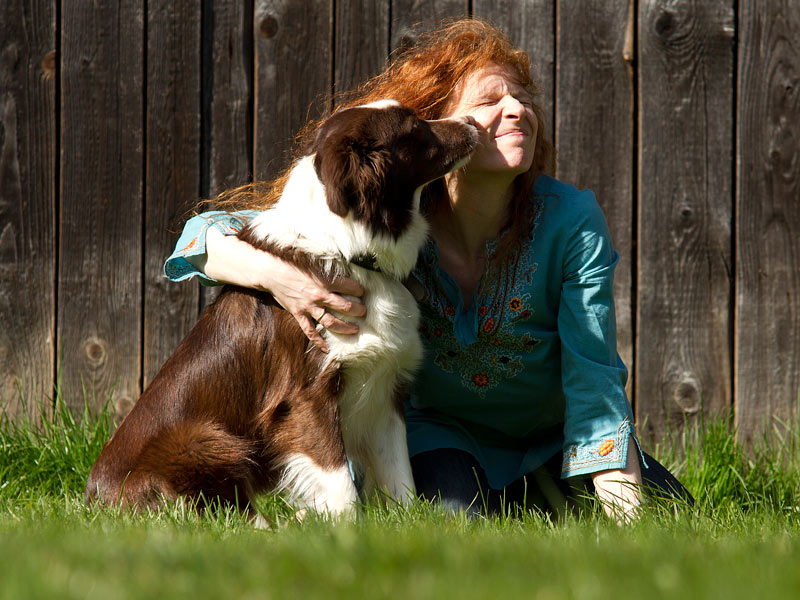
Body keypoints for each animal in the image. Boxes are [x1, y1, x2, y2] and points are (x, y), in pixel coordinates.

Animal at [85, 101, 478, 516]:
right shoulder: (307, 396)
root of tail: (94, 494)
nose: (472, 122)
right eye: (415, 127)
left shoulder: (385, 388)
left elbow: (401, 478)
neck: (349, 250)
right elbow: (341, 486)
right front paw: (347, 528)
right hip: (207, 440)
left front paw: (407, 522)